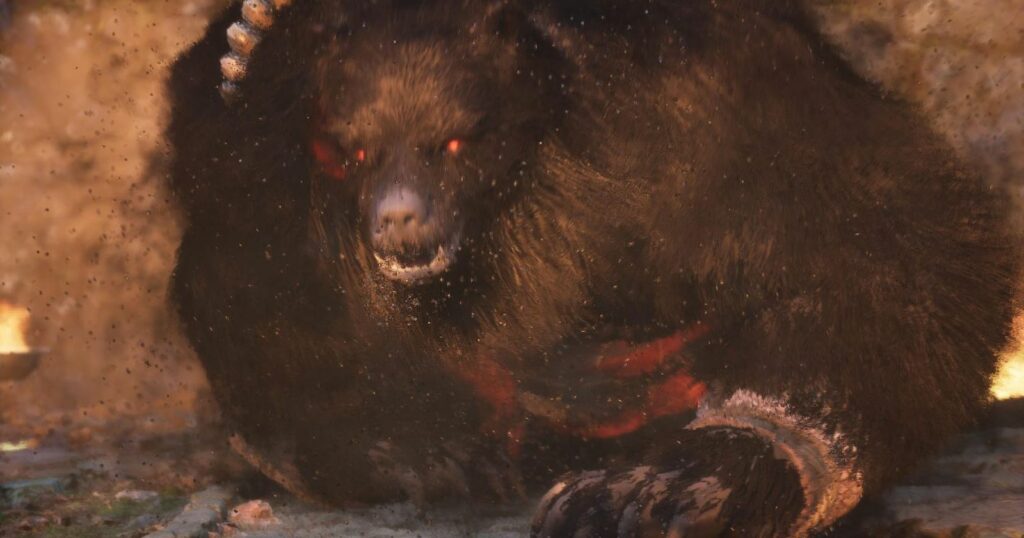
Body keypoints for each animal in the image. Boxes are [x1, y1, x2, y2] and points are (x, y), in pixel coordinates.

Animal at [165, 0, 1019, 535]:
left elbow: (890, 252)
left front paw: (677, 483)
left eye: (455, 141)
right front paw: (416, 448)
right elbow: (254, 289)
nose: (400, 222)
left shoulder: (712, 102)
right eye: (352, 152)